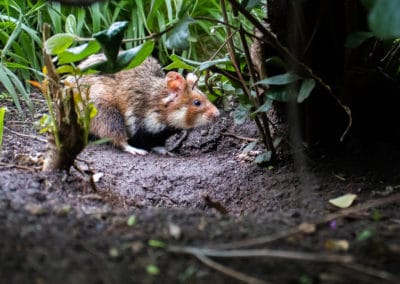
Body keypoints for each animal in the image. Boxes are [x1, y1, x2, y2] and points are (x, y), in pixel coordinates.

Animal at [74, 56, 220, 155]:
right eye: (197, 102)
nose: (218, 114)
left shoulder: (158, 135)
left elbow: (157, 144)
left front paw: (167, 152)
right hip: (105, 112)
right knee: (117, 138)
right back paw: (136, 150)